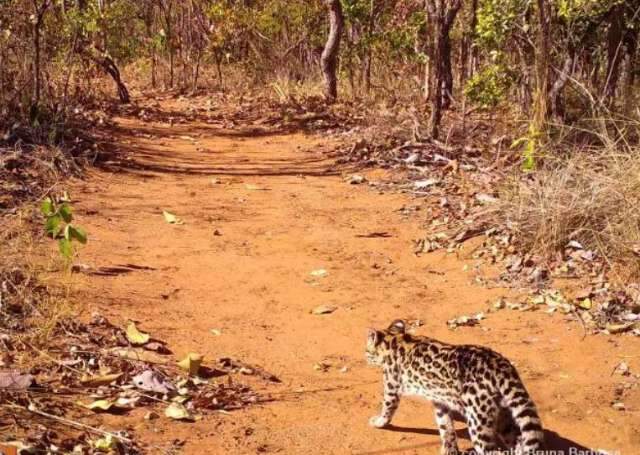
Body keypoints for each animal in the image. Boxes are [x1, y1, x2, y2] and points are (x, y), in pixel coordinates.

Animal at [368, 320, 544, 455]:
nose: (365, 356)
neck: (395, 339)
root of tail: (501, 365)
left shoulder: (392, 388)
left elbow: (387, 408)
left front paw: (379, 421)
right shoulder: (440, 401)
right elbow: (446, 426)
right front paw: (449, 449)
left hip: (478, 422)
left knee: (491, 450)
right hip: (503, 413)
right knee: (518, 441)